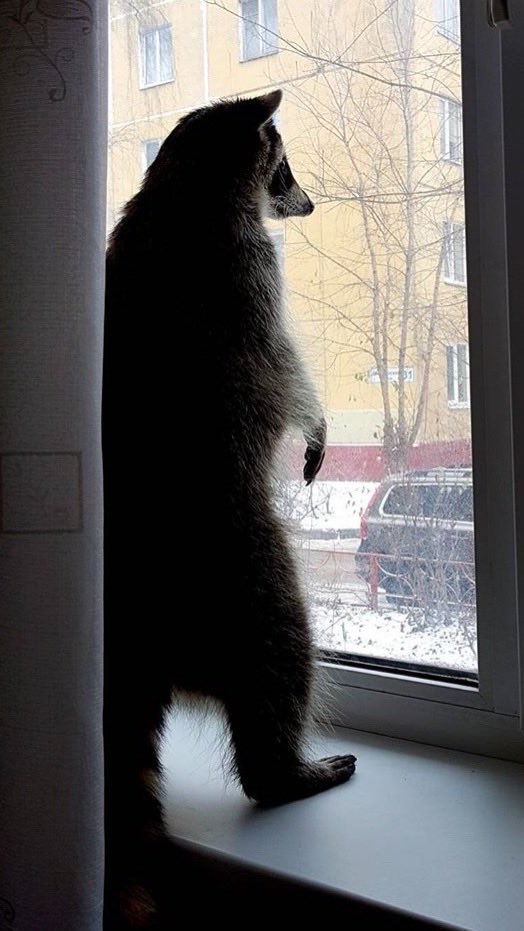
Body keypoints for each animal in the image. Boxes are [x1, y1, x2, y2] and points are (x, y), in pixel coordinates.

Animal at [103, 89, 356, 928]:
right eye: (285, 164)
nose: (307, 204)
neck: (181, 188)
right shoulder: (247, 280)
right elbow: (290, 372)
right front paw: (317, 427)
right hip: (244, 581)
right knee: (282, 657)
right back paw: (284, 773)